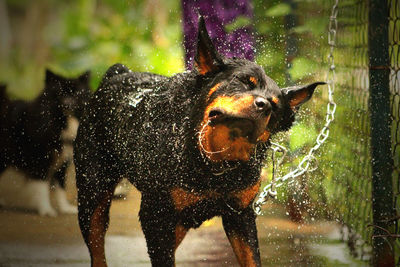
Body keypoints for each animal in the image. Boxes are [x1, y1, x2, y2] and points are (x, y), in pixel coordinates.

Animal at [0, 70, 90, 217]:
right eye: (60, 92)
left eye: (76, 92)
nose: (67, 104)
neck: (61, 122)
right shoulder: (40, 162)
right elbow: (42, 189)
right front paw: (46, 210)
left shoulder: (62, 164)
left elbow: (61, 188)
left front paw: (64, 208)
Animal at [75, 17, 324, 267]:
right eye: (243, 81)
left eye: (275, 105)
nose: (263, 105)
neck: (214, 164)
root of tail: (117, 73)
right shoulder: (156, 215)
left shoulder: (240, 215)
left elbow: (251, 258)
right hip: (92, 194)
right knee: (96, 245)